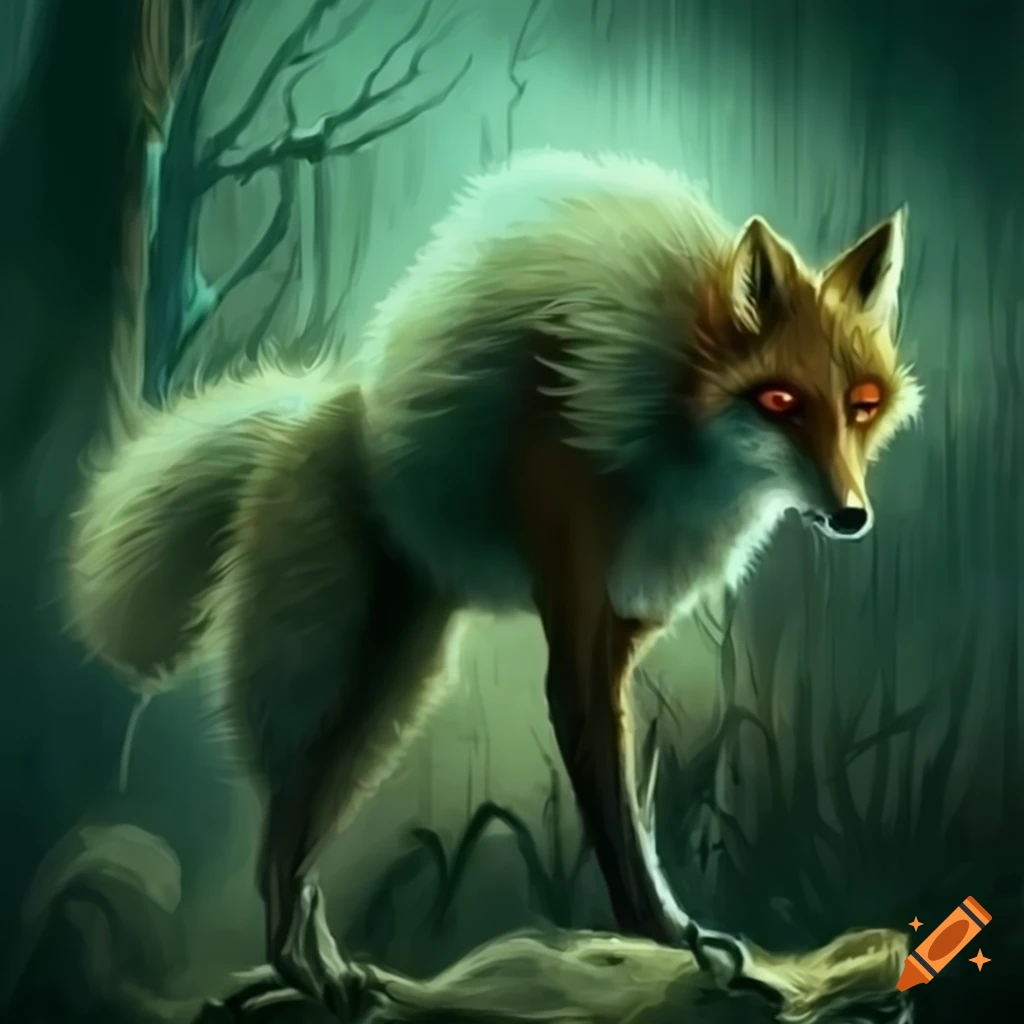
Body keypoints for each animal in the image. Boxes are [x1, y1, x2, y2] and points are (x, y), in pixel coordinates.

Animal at [66, 150, 921, 1008]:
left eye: (862, 404)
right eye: (779, 399)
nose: (851, 516)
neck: (670, 426)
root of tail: (325, 414)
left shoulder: (624, 624)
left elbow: (630, 799)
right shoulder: (575, 619)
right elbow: (614, 805)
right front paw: (668, 937)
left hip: (390, 696)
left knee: (298, 853)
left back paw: (326, 972)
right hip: (337, 684)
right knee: (280, 843)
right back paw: (308, 976)